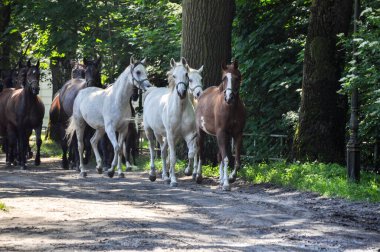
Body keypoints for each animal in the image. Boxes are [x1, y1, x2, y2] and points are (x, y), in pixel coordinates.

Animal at [142, 57, 202, 187]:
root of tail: (152, 91)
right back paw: (153, 174)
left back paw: (166, 176)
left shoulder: (189, 134)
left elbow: (192, 152)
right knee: (153, 150)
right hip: (151, 132)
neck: (180, 110)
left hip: (169, 136)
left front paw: (189, 172)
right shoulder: (170, 134)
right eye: (174, 76)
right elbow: (173, 157)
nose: (181, 92)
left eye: (186, 74)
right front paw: (174, 180)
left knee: (164, 151)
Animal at [194, 60, 245, 191]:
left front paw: (231, 178)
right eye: (224, 79)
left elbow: (236, 160)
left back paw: (221, 179)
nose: (229, 97)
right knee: (200, 152)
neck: (230, 109)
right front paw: (226, 183)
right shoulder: (221, 133)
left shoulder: (237, 134)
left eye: (237, 78)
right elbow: (226, 158)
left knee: (219, 156)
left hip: (221, 136)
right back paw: (198, 176)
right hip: (201, 132)